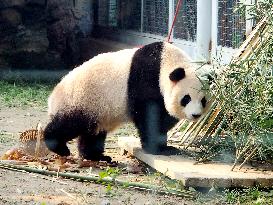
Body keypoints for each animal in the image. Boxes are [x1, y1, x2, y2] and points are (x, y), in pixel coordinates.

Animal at [44, 40, 206, 161]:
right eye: (186, 98)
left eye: (203, 100)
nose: (196, 115)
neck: (165, 61)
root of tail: (53, 97)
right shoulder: (146, 78)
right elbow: (148, 116)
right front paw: (159, 149)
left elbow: (164, 118)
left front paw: (167, 146)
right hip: (82, 100)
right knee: (70, 123)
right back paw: (59, 147)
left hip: (97, 111)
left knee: (92, 134)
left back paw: (95, 156)